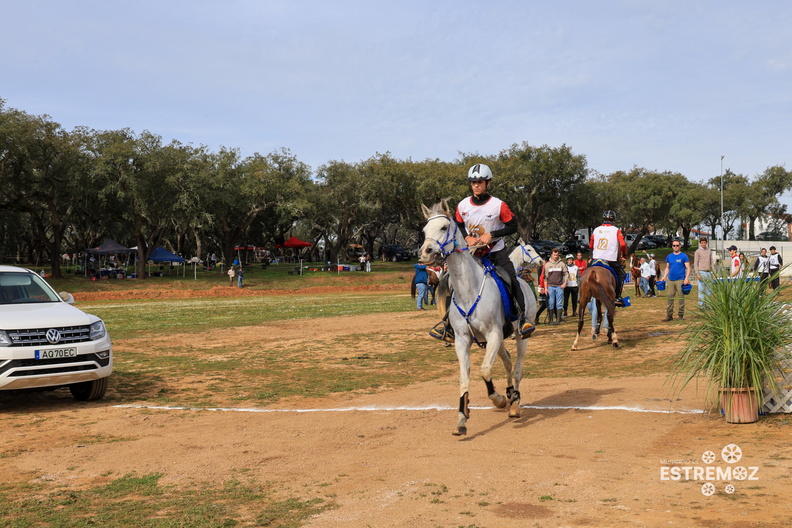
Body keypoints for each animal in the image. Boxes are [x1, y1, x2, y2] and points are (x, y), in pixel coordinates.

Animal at [414, 200, 540, 436]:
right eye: (425, 230)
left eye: (444, 227)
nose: (426, 252)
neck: (468, 291)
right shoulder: (462, 340)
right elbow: (465, 379)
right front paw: (462, 419)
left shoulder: (493, 335)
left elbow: (485, 370)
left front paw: (498, 399)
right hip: (500, 341)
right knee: (508, 362)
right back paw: (510, 394)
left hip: (521, 337)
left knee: (518, 368)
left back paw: (514, 404)